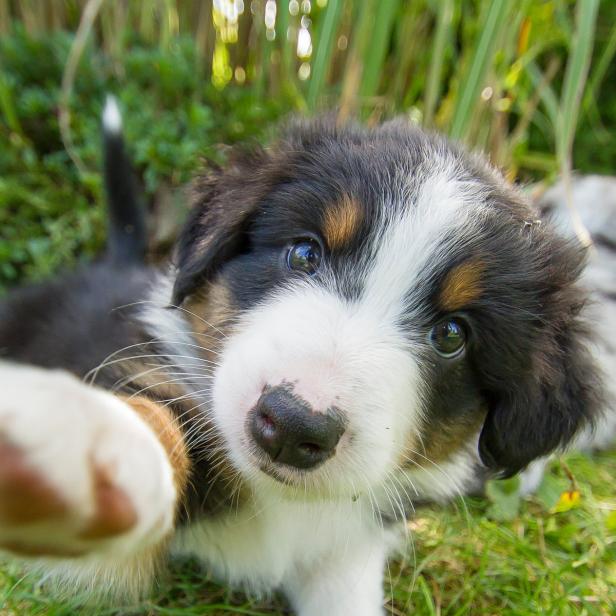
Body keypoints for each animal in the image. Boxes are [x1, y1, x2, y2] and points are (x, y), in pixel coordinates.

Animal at [0, 102, 600, 616]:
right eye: (305, 253)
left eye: (452, 335)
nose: (291, 425)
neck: (279, 500)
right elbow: (157, 425)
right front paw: (78, 445)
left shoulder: (348, 544)